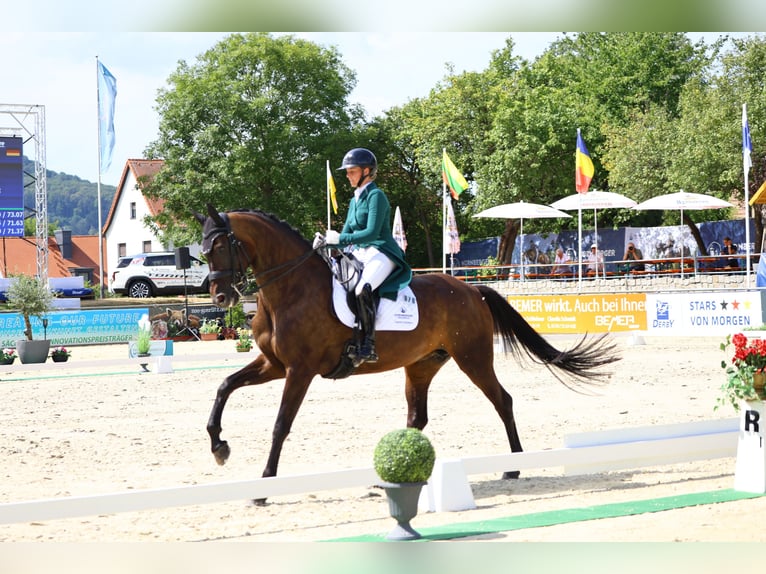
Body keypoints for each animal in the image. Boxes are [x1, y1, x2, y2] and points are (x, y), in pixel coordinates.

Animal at [195, 205, 620, 492]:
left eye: (220, 246)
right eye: (202, 249)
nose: (219, 297)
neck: (290, 289)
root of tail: (472, 290)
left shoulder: (300, 370)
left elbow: (281, 423)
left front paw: (265, 483)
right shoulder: (273, 364)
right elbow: (224, 387)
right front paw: (219, 447)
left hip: (473, 358)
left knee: (503, 401)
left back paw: (514, 466)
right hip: (422, 364)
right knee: (418, 416)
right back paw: (395, 471)